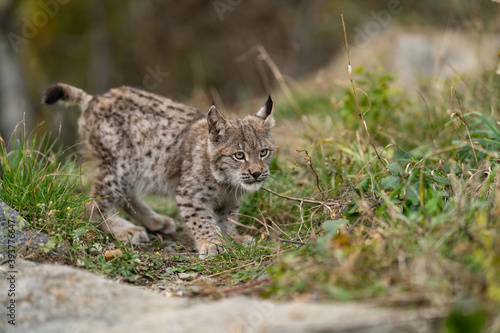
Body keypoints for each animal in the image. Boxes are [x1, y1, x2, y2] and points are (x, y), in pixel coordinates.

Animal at [43, 83, 276, 256]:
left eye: (264, 152)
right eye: (239, 155)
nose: (257, 173)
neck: (225, 181)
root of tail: (95, 99)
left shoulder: (230, 199)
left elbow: (228, 218)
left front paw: (232, 238)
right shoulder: (189, 194)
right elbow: (201, 219)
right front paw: (211, 244)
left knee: (122, 195)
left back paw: (155, 221)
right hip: (122, 164)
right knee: (92, 205)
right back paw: (126, 229)